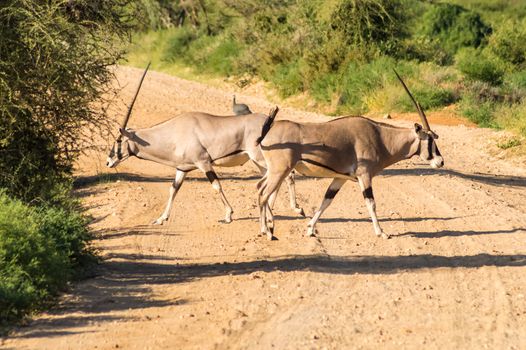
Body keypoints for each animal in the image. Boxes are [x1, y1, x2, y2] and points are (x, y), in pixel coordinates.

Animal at [106, 64, 306, 226]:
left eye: (118, 141)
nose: (108, 162)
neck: (175, 132)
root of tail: (271, 122)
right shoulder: (182, 169)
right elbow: (173, 190)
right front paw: (161, 218)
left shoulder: (203, 163)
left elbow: (216, 185)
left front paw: (228, 215)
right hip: (258, 161)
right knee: (273, 179)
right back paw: (270, 210)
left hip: (260, 158)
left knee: (288, 175)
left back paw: (295, 209)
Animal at [256, 71, 446, 241]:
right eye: (430, 138)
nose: (441, 161)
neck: (380, 138)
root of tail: (268, 132)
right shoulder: (365, 175)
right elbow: (371, 203)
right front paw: (381, 233)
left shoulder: (341, 178)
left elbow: (326, 201)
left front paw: (310, 229)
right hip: (280, 171)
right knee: (264, 195)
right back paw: (268, 232)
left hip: (274, 172)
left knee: (260, 189)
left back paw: (266, 228)